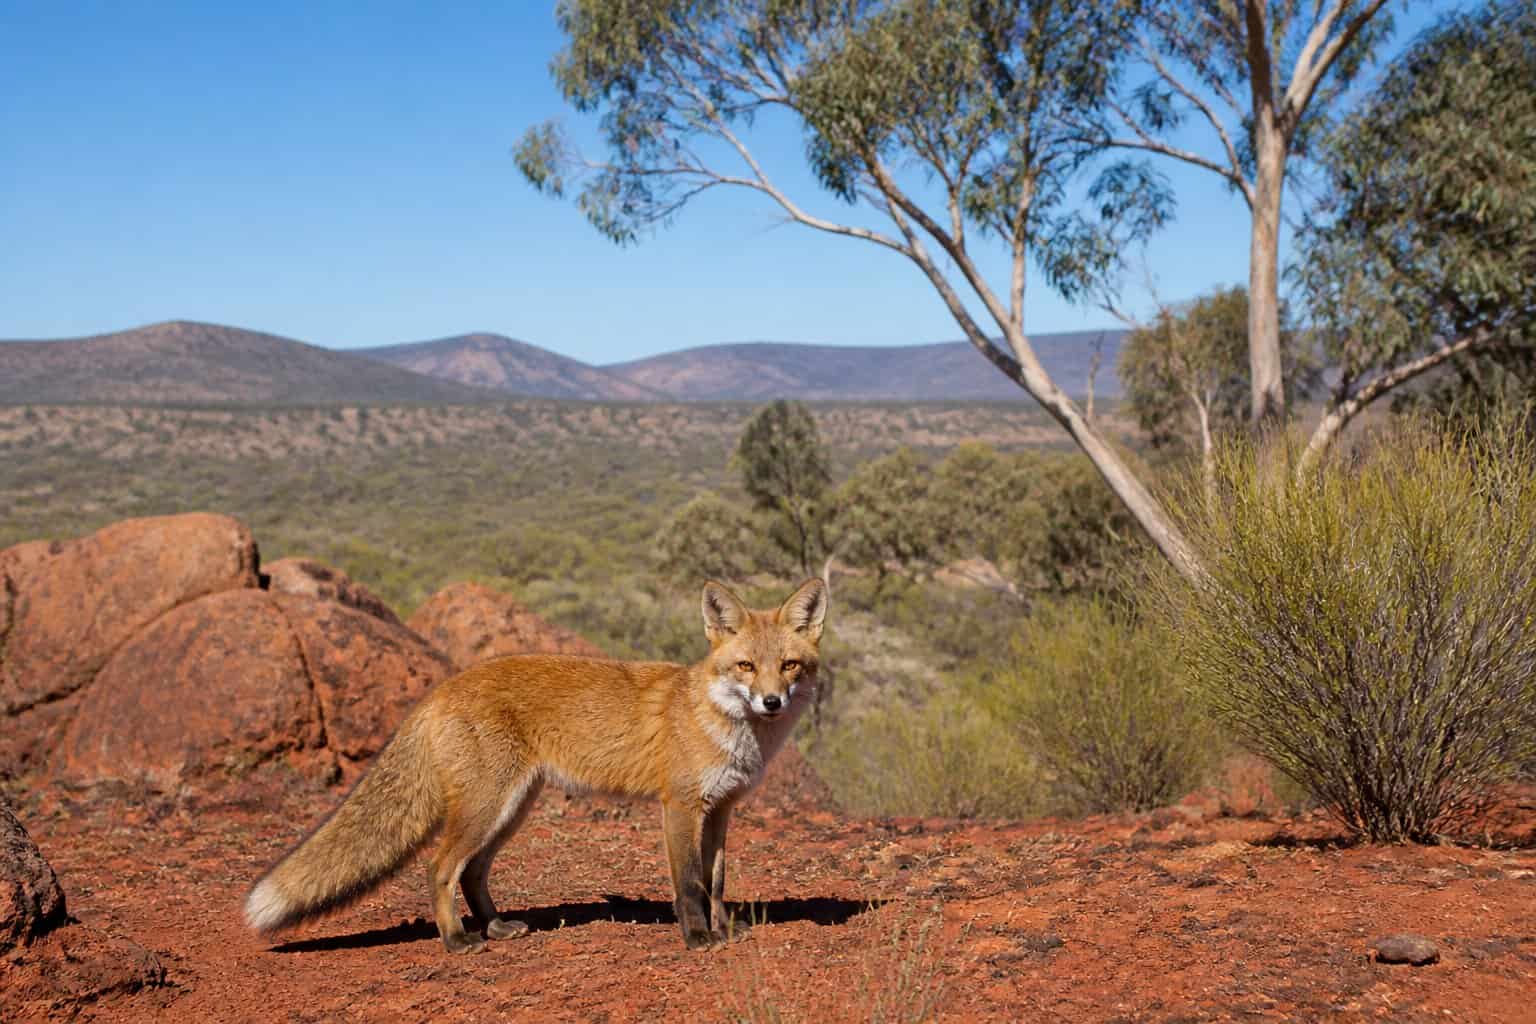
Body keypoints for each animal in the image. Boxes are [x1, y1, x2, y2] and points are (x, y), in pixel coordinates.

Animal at [244, 577, 827, 954]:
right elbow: (688, 883)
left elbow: (717, 880)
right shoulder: (680, 807)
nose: (771, 702)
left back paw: (496, 928)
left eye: (789, 666)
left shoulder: (722, 809)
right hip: (487, 807)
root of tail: (441, 688)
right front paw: (698, 937)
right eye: (745, 666)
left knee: (472, 871)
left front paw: (725, 929)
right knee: (439, 868)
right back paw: (456, 941)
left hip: (511, 808)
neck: (724, 725)